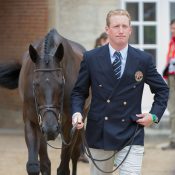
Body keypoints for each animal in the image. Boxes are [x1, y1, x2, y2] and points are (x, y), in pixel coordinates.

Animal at [0, 29, 90, 175]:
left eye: (61, 83)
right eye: (35, 84)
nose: (50, 128)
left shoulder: (69, 126)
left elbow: (64, 168)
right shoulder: (32, 121)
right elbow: (34, 166)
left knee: (75, 155)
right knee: (45, 163)